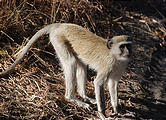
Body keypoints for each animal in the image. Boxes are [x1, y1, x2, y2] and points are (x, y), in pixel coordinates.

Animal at [0, 23, 132, 119]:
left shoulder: (120, 67)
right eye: (122, 46)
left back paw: (83, 95)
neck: (115, 56)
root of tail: (61, 25)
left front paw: (116, 108)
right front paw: (102, 114)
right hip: (58, 40)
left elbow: (113, 84)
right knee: (71, 62)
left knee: (81, 64)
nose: (128, 52)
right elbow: (98, 83)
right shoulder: (107, 65)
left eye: (128, 45)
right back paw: (71, 98)